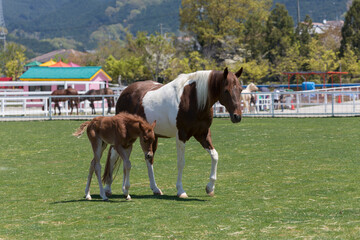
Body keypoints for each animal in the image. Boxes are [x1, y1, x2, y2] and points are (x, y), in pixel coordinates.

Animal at [101, 66, 243, 198]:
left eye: (240, 89)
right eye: (226, 90)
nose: (237, 116)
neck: (194, 99)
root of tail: (124, 93)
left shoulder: (203, 134)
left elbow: (215, 156)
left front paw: (210, 188)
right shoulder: (181, 135)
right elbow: (181, 162)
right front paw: (181, 190)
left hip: (150, 136)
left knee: (148, 159)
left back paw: (155, 189)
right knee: (114, 155)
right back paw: (107, 188)